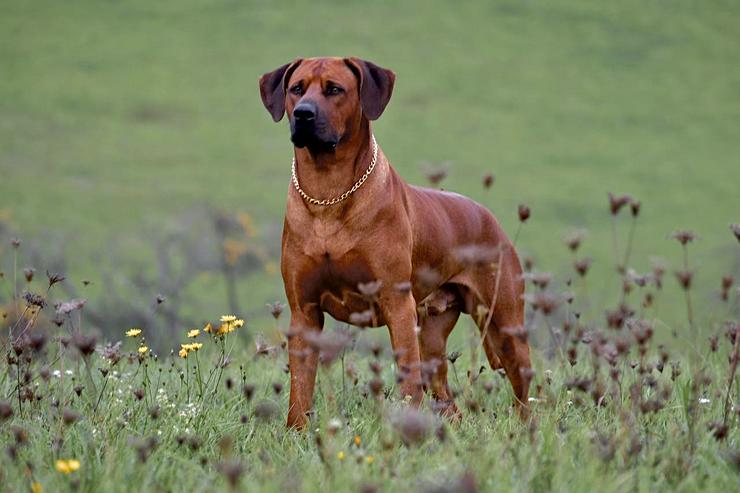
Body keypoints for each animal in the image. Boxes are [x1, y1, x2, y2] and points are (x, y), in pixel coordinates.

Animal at [258, 56, 528, 426]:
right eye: (296, 88)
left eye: (334, 89)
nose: (303, 114)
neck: (328, 194)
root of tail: (489, 217)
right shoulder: (304, 311)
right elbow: (300, 388)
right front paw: (296, 431)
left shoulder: (396, 305)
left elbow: (409, 382)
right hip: (432, 333)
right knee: (446, 395)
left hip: (504, 325)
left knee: (525, 388)